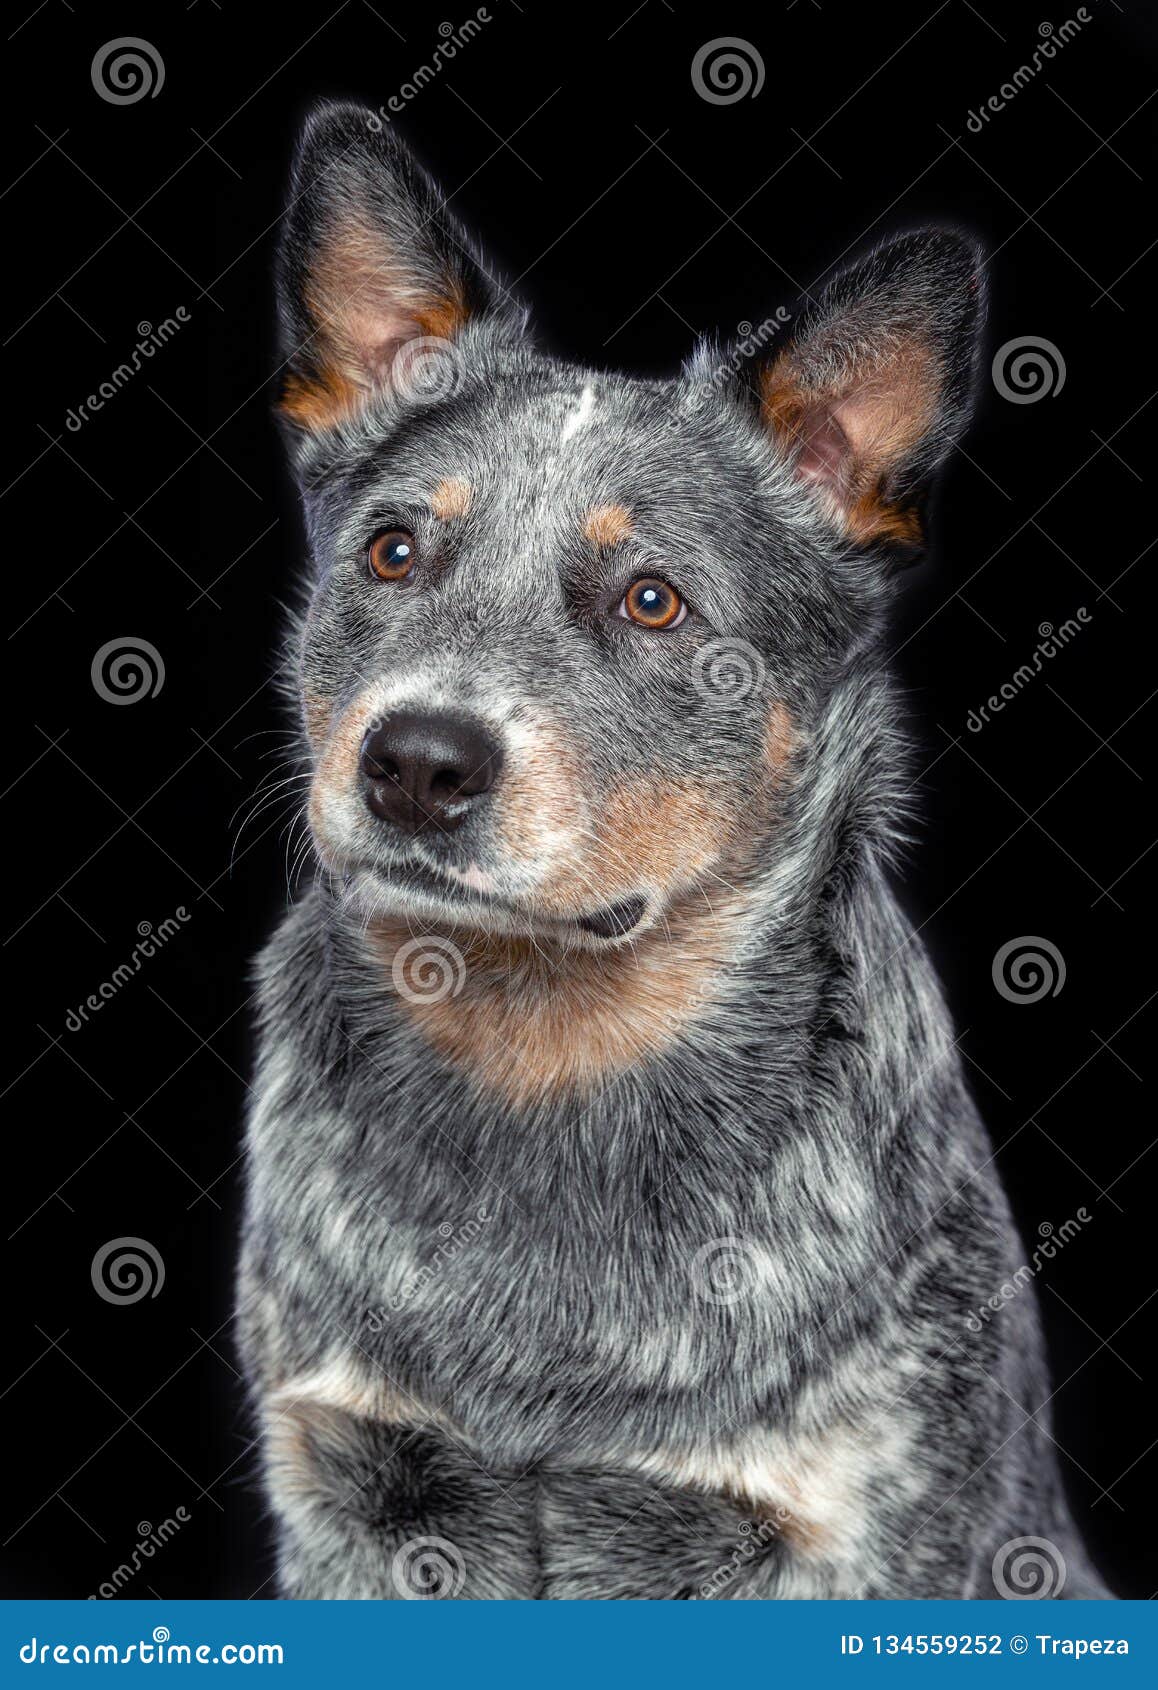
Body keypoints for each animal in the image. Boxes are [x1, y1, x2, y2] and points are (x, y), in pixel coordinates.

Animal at [236, 102, 1108, 1595]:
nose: (415, 763)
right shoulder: (346, 1487)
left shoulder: (856, 1536)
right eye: (392, 551)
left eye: (653, 601)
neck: (546, 1064)